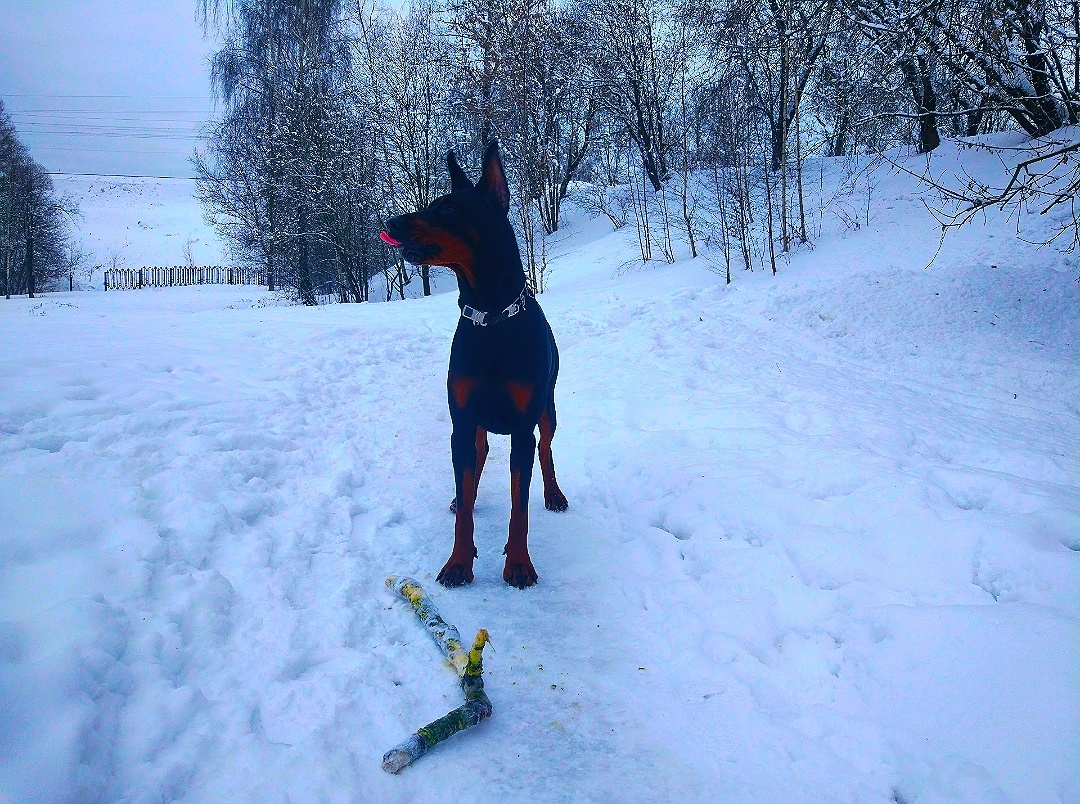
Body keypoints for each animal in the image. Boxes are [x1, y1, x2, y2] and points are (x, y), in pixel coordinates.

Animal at [378, 141, 565, 587]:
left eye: (447, 209)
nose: (390, 221)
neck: (489, 319)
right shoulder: (462, 419)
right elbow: (465, 505)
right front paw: (459, 562)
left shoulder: (521, 428)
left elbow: (520, 506)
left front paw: (519, 564)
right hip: (474, 424)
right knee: (476, 461)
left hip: (548, 409)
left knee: (546, 447)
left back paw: (553, 493)